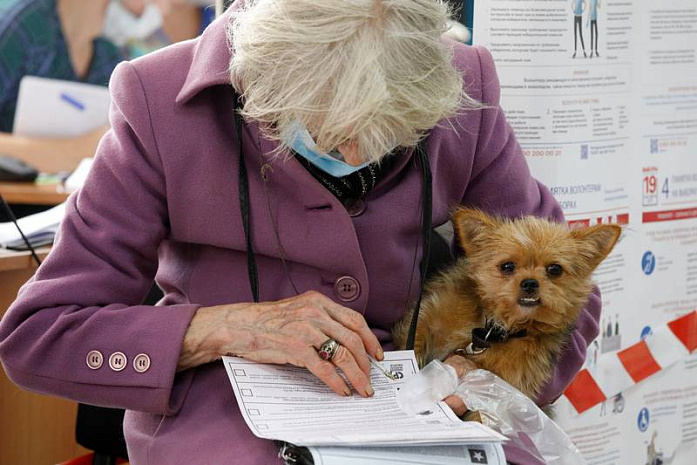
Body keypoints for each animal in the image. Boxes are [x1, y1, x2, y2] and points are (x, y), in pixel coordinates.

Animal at [392, 207, 620, 398]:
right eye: (507, 266)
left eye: (555, 269)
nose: (530, 283)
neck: (493, 328)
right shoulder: (425, 320)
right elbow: (413, 343)